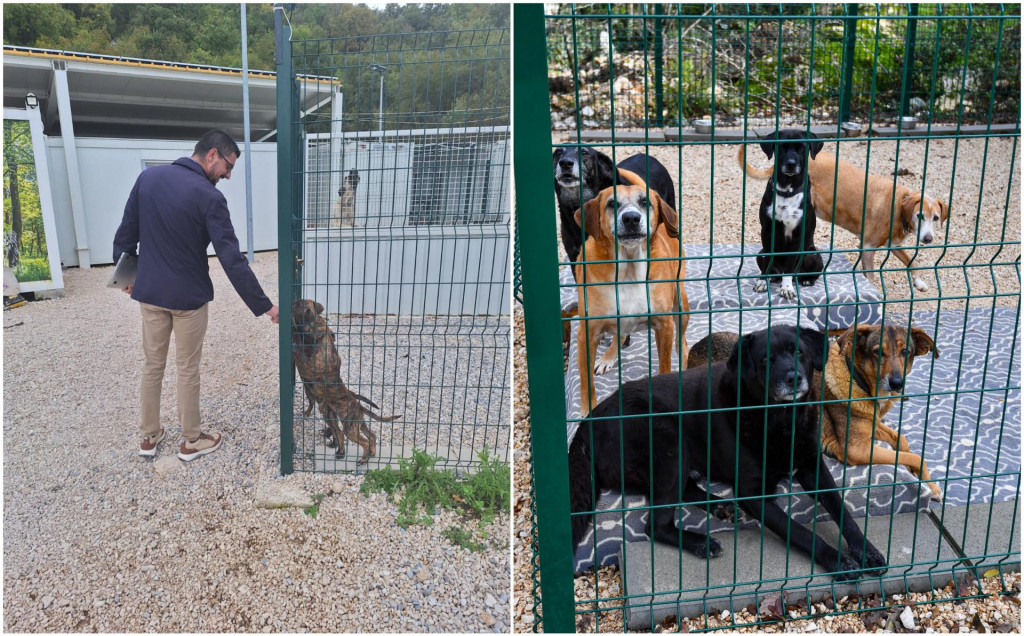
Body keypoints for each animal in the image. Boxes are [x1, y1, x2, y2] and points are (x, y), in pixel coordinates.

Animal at [292, 297, 399, 460]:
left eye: (303, 305)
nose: (295, 304)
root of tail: (359, 406)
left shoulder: (307, 362)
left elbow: (298, 345)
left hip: (348, 426)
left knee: (353, 437)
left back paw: (360, 457)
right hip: (352, 422)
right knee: (369, 435)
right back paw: (363, 453)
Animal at [569, 325, 888, 577]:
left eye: (799, 353)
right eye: (765, 359)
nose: (793, 378)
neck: (782, 419)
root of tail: (586, 425)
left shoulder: (814, 468)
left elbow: (844, 512)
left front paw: (867, 551)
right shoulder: (752, 493)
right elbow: (800, 532)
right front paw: (837, 561)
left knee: (683, 490)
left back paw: (719, 507)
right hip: (668, 434)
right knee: (656, 525)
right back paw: (701, 541)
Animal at [577, 168, 688, 415]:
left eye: (645, 202)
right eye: (612, 204)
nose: (631, 218)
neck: (628, 271)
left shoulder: (664, 325)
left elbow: (665, 365)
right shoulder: (587, 333)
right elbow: (586, 381)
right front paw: (588, 413)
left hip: (681, 304)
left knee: (683, 341)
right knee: (620, 335)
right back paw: (608, 357)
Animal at [688, 325, 942, 497]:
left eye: (906, 352)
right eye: (878, 352)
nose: (897, 383)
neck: (857, 378)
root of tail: (698, 344)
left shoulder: (871, 425)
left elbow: (902, 441)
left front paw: (916, 474)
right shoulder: (856, 449)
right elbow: (915, 456)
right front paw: (931, 486)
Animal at [737, 145, 950, 290]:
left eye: (936, 218)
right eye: (919, 216)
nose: (928, 239)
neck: (899, 205)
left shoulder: (894, 245)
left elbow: (912, 262)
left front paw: (919, 282)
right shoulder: (867, 247)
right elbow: (871, 276)